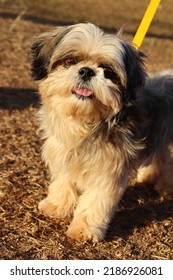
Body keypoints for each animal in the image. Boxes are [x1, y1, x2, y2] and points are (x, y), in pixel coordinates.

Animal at [30, 23, 173, 242]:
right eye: (71, 61)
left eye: (108, 71)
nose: (87, 71)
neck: (86, 123)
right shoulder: (64, 156)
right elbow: (63, 183)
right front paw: (57, 206)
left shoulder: (107, 172)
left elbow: (94, 202)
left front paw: (84, 229)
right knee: (162, 153)